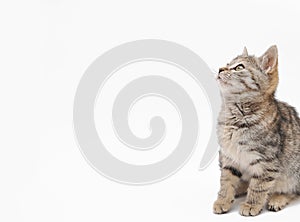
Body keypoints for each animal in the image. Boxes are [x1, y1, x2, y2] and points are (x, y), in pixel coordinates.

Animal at [212, 46, 300, 216]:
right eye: (227, 64)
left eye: (239, 67)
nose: (220, 69)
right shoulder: (228, 157)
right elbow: (226, 181)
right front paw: (223, 199)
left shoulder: (266, 162)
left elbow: (258, 186)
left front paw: (251, 204)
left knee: (293, 191)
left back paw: (277, 199)